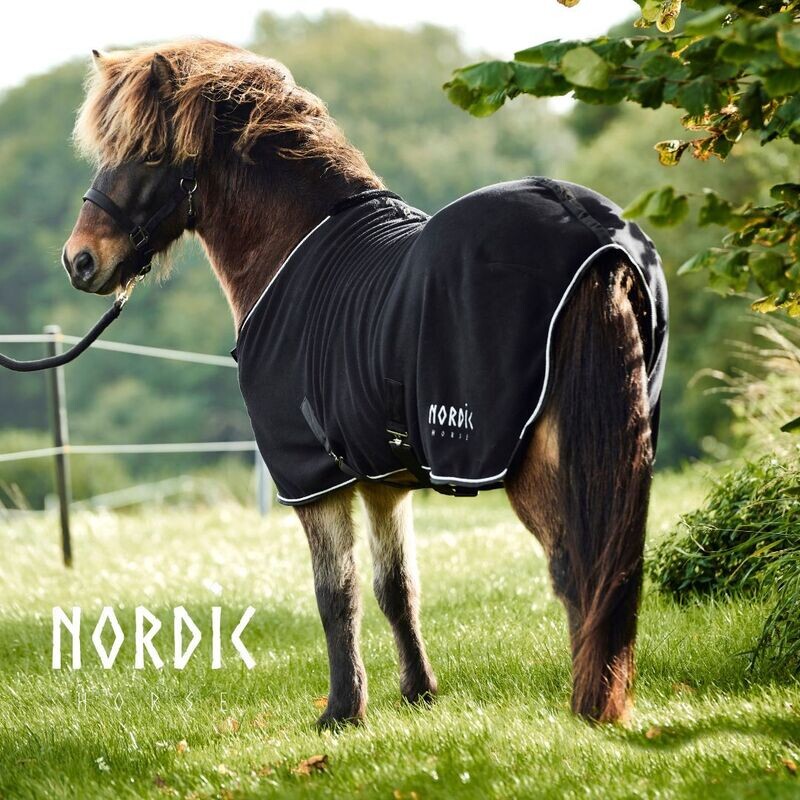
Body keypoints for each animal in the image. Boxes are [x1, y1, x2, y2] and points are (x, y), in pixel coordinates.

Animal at [63, 40, 667, 728]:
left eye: (148, 153)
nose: (80, 259)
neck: (293, 248)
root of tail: (597, 247)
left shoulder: (310, 477)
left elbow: (336, 593)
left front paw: (343, 710)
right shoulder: (384, 479)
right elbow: (395, 587)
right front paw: (419, 691)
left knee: (575, 566)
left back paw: (590, 706)